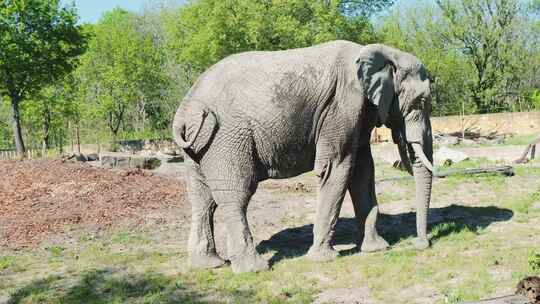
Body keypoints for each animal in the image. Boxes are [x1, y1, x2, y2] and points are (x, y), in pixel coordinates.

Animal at [173, 39, 434, 274]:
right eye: (421, 101)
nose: (421, 243)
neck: (382, 51)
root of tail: (185, 111)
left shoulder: (358, 116)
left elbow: (363, 172)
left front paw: (377, 249)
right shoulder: (342, 107)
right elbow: (337, 168)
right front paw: (324, 259)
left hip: (201, 145)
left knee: (202, 198)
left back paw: (208, 264)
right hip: (226, 137)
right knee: (236, 195)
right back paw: (254, 268)